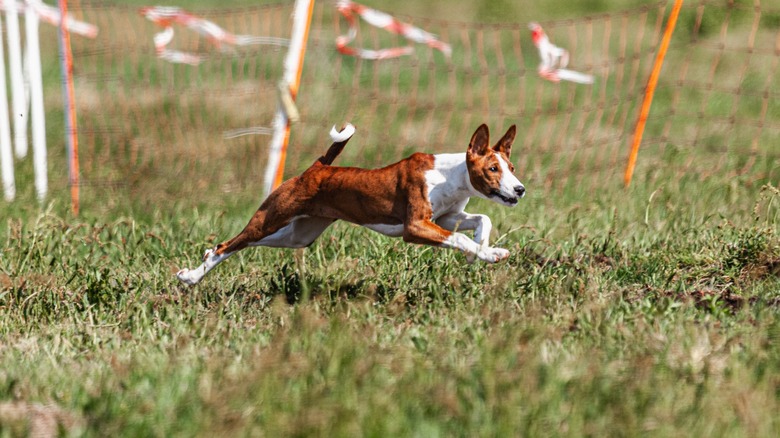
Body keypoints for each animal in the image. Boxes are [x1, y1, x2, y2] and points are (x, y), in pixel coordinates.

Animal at [178, 124, 524, 288]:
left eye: (512, 167)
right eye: (493, 169)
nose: (520, 190)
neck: (449, 175)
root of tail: (317, 168)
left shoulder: (447, 217)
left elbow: (482, 220)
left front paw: (482, 249)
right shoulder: (415, 227)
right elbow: (461, 236)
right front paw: (489, 254)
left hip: (299, 234)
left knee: (239, 245)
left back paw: (198, 265)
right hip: (272, 217)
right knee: (228, 244)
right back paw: (192, 277)